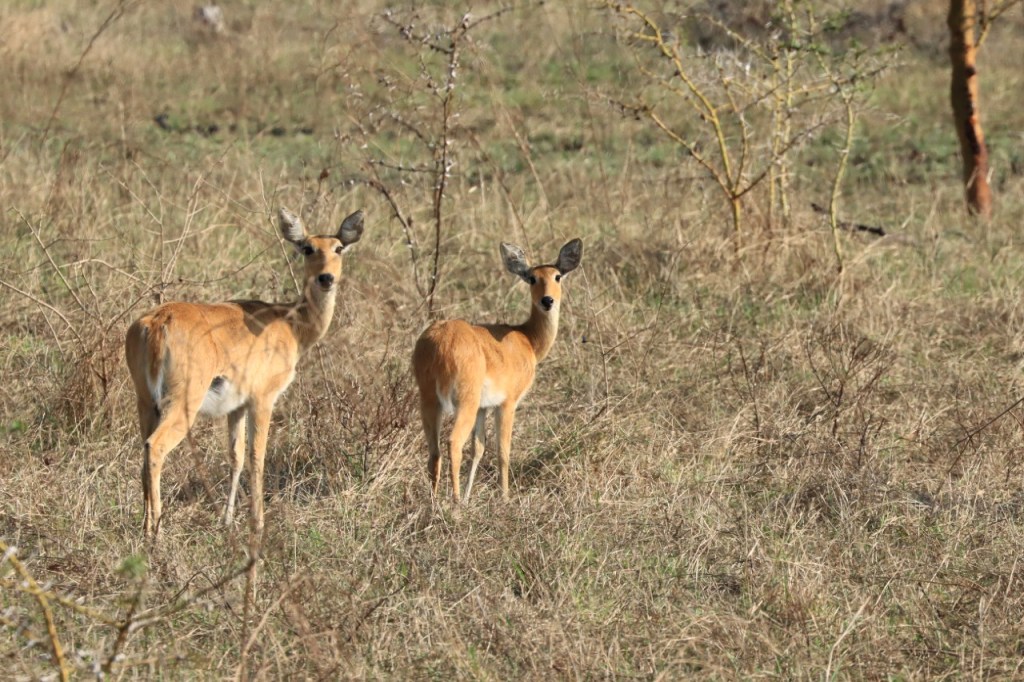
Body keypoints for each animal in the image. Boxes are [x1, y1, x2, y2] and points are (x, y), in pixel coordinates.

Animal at [125, 208, 364, 537]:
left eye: (338, 248)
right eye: (307, 248)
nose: (326, 278)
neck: (291, 323)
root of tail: (158, 322)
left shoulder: (235, 407)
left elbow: (235, 456)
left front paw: (227, 520)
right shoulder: (263, 399)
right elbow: (257, 456)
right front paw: (258, 523)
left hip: (146, 402)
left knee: (142, 452)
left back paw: (144, 526)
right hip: (182, 403)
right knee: (154, 447)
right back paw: (156, 532)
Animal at [412, 238, 583, 503]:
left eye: (557, 276)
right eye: (532, 278)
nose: (547, 301)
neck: (527, 339)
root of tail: (438, 342)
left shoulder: (484, 407)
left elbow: (479, 448)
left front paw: (470, 496)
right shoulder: (507, 403)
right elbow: (503, 451)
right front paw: (505, 497)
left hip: (429, 400)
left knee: (434, 451)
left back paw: (435, 501)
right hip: (465, 401)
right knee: (453, 443)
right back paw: (455, 502)